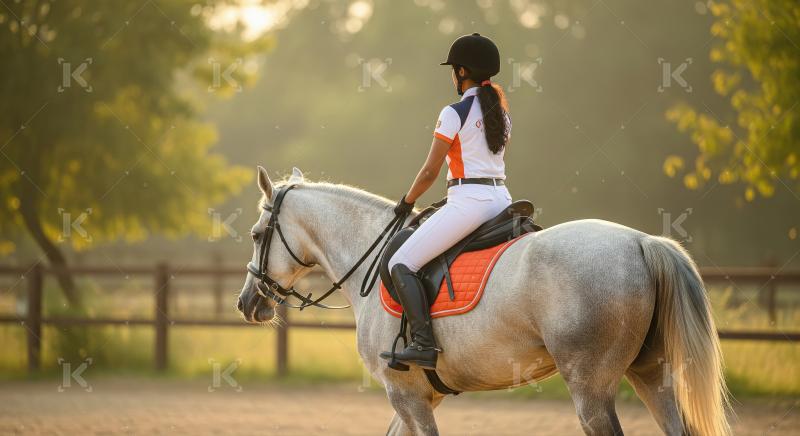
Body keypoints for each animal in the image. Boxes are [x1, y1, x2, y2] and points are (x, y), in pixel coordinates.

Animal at [237, 166, 730, 436]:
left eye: (257, 235)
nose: (247, 303)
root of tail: (643, 242)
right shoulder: (419, 397)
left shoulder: (406, 396)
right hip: (651, 375)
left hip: (591, 387)